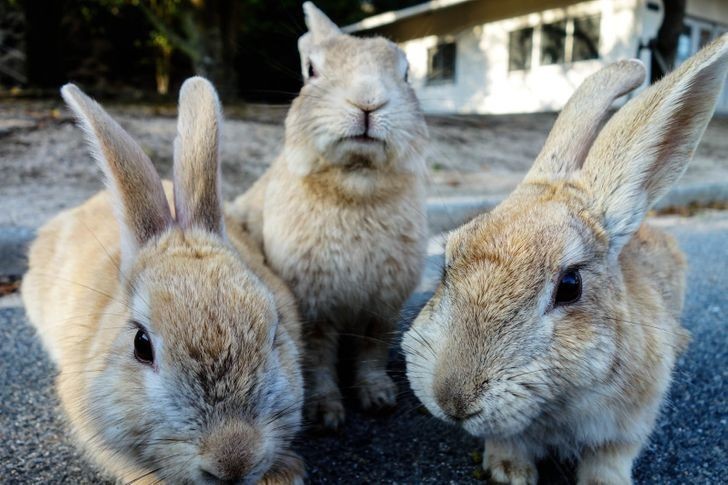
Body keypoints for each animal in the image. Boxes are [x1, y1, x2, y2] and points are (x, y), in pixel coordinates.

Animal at [228, 1, 430, 430]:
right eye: (312, 70)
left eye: (406, 73)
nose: (368, 101)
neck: (355, 185)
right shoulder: (313, 309)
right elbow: (318, 360)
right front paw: (325, 414)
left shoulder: (381, 308)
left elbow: (371, 352)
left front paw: (379, 398)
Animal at [400, 35, 728, 484]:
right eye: (446, 264)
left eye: (570, 286)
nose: (453, 400)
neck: (557, 407)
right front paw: (511, 472)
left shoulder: (630, 424)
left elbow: (610, 457)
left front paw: (605, 481)